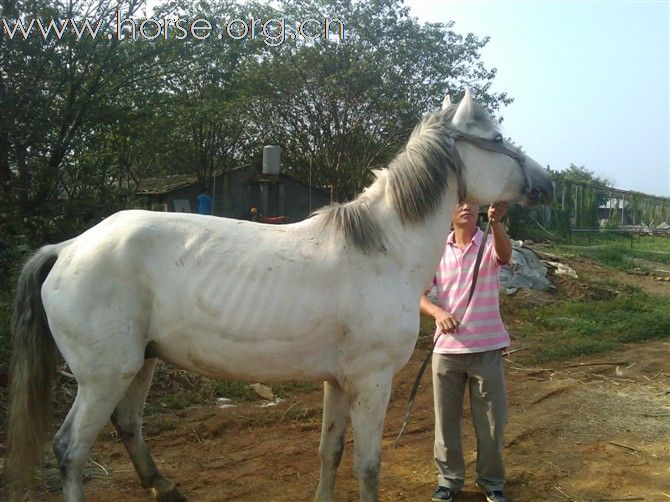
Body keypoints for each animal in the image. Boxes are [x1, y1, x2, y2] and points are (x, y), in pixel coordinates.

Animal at [5, 91, 552, 502]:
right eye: (497, 140)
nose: (547, 183)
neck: (384, 249)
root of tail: (68, 248)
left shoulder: (339, 382)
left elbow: (330, 453)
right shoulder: (372, 382)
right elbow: (367, 465)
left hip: (141, 362)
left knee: (127, 423)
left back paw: (165, 487)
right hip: (104, 376)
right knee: (70, 449)